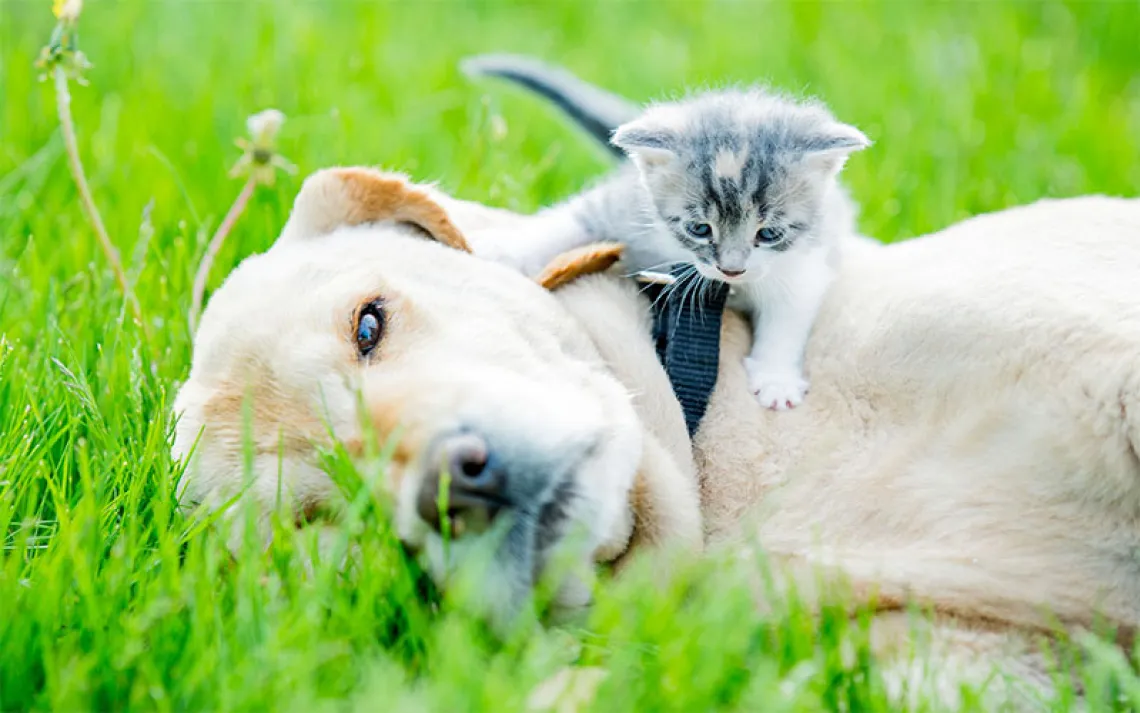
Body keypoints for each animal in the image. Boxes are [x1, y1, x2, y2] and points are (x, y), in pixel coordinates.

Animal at [467, 58, 866, 408]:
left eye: (768, 234)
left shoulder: (806, 262)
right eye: (700, 229)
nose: (732, 269)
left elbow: (788, 317)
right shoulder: (626, 205)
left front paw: (776, 378)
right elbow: (573, 218)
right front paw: (503, 248)